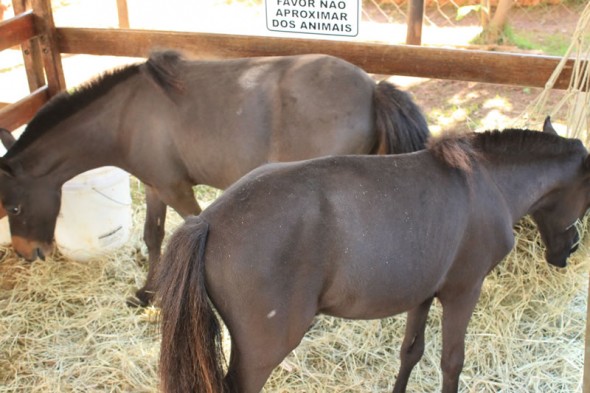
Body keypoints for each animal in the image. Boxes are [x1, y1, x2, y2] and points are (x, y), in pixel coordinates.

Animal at [0, 49, 430, 304]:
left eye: (14, 207)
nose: (25, 253)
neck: (125, 116)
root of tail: (373, 89)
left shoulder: (176, 189)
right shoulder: (155, 186)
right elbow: (153, 236)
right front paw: (148, 292)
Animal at [155, 118, 588, 392]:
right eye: (587, 197)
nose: (569, 250)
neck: (487, 181)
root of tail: (206, 221)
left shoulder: (423, 294)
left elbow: (411, 352)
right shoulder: (463, 292)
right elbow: (451, 363)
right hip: (263, 351)